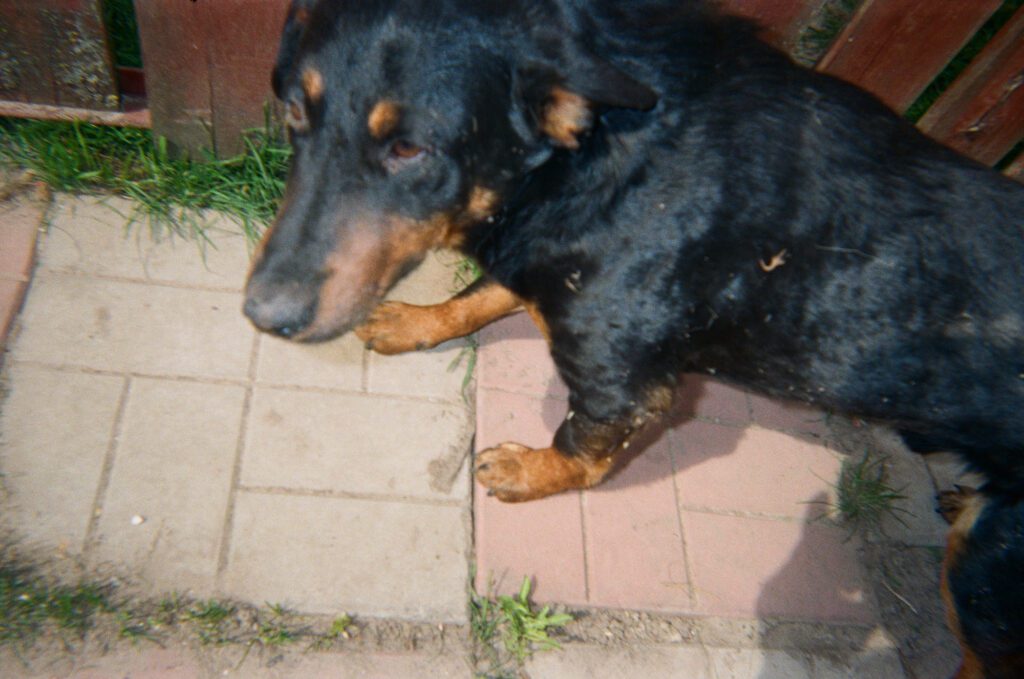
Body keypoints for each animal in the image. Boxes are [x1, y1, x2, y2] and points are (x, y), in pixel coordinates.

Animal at [245, 1, 1024, 675]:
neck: (596, 158)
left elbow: (580, 451)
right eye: (294, 110)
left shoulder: (625, 386)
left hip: (987, 577)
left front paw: (527, 471)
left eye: (410, 147)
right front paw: (419, 320)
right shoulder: (543, 255)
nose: (261, 311)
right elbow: (482, 293)